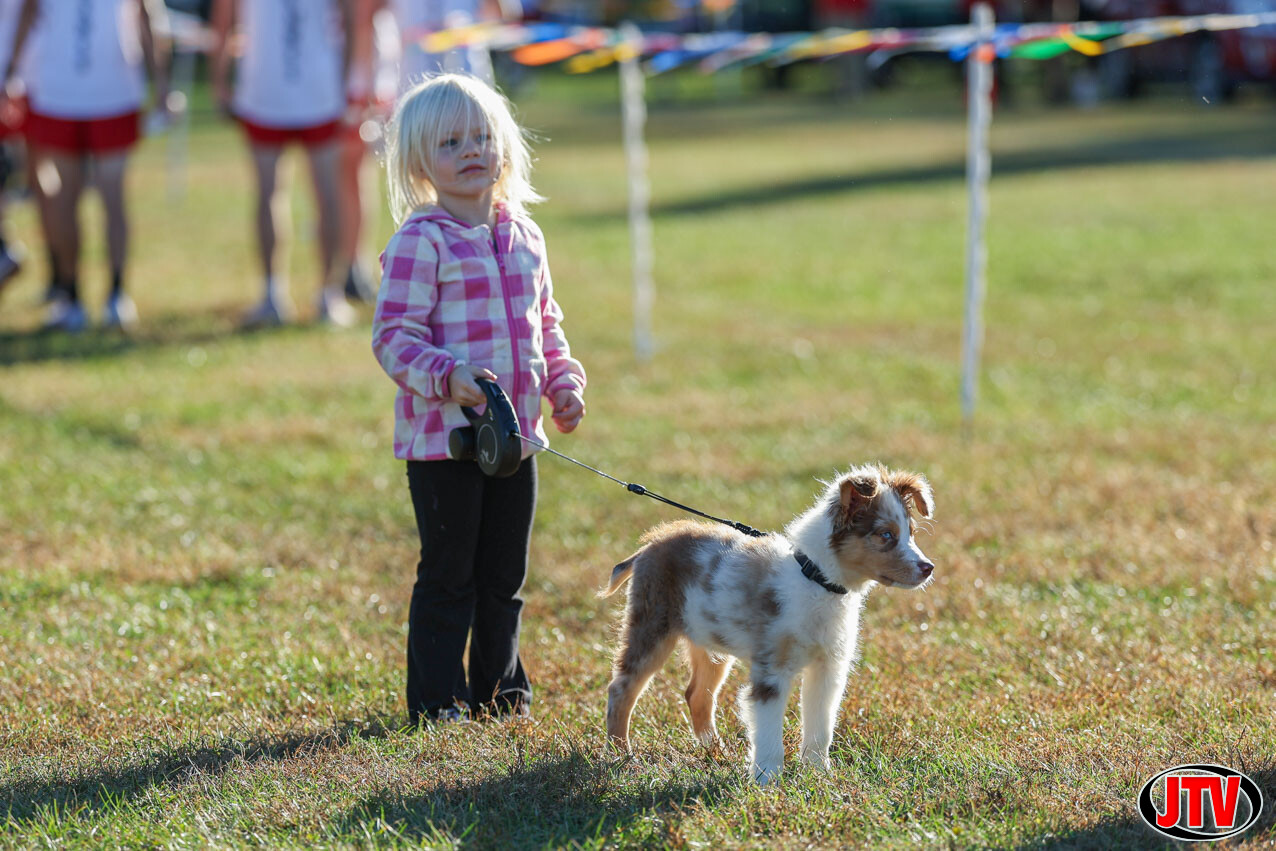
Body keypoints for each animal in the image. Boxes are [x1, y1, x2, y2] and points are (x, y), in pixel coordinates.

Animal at [601, 464, 935, 785]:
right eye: (885, 535)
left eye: (911, 533)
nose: (928, 568)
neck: (816, 580)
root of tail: (648, 547)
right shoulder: (771, 670)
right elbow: (768, 731)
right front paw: (767, 781)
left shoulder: (828, 667)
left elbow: (820, 726)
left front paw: (819, 775)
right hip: (651, 627)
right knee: (621, 689)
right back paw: (622, 756)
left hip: (708, 640)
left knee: (697, 695)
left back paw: (717, 753)